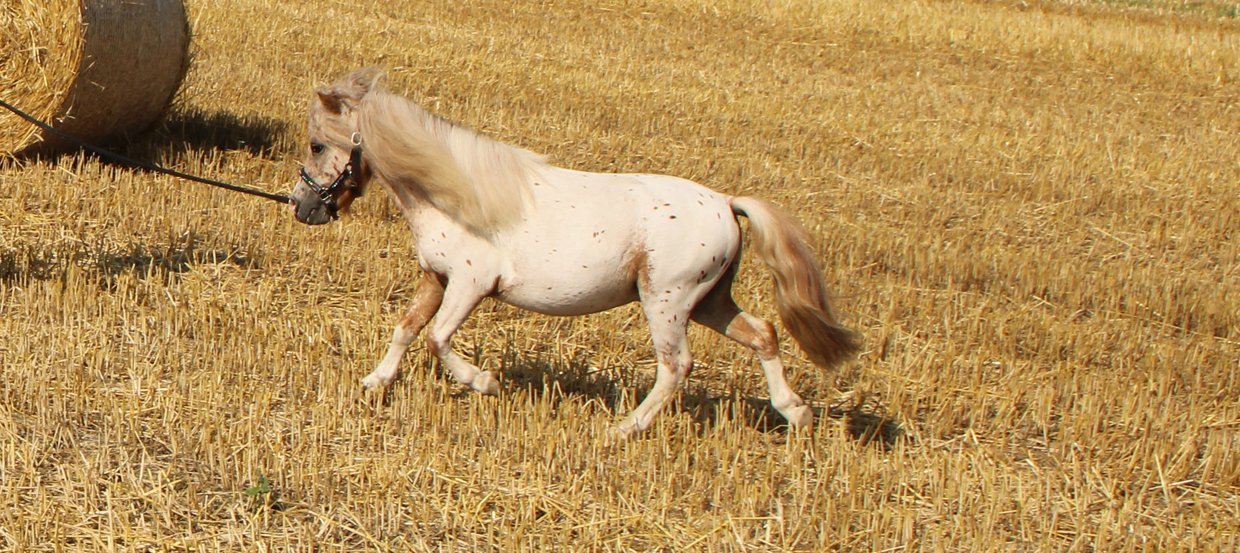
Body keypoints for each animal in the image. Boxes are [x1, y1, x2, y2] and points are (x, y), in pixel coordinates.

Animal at [290, 68, 858, 436]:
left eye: (318, 145)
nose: (301, 207)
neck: (456, 194)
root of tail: (725, 203)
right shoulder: (436, 277)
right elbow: (406, 329)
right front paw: (375, 383)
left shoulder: (472, 284)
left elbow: (436, 338)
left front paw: (486, 382)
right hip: (710, 302)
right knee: (764, 335)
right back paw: (797, 413)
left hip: (668, 302)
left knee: (676, 367)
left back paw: (623, 429)